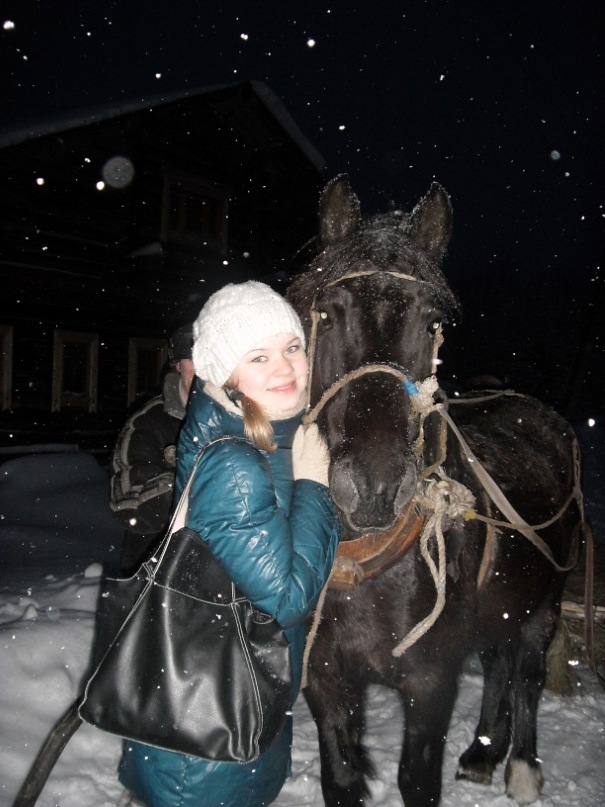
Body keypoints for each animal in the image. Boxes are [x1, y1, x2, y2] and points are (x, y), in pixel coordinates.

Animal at [286, 176, 582, 807]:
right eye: (328, 312)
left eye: (431, 322)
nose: (373, 486)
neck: (364, 564)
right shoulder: (324, 679)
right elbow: (340, 778)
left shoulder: (430, 685)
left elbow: (416, 778)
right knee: (496, 666)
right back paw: (482, 754)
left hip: (543, 606)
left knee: (525, 674)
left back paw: (521, 765)